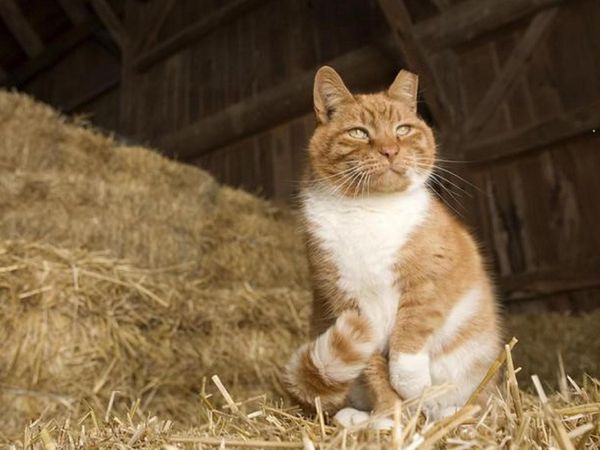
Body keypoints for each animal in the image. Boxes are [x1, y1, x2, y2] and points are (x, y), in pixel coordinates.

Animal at [282, 66, 502, 426]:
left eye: (403, 129)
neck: (369, 211)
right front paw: (390, 416)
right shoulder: (348, 306)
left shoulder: (430, 281)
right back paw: (358, 418)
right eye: (359, 133)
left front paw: (413, 388)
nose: (390, 151)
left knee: (480, 401)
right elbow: (373, 370)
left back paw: (450, 411)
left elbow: (407, 343)